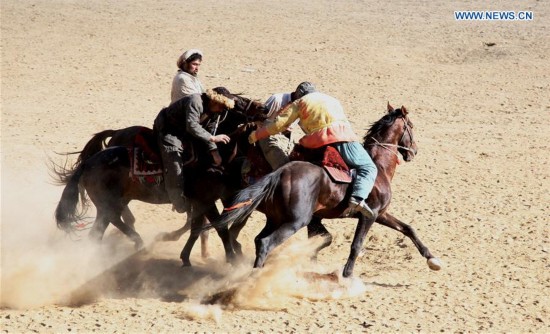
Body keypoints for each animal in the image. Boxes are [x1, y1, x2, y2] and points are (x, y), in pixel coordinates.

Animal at [54, 88, 268, 264]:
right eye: (237, 101)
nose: (263, 107)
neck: (211, 159)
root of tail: (87, 164)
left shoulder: (204, 202)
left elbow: (198, 227)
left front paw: (188, 256)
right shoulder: (205, 201)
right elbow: (219, 228)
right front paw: (232, 258)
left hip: (111, 204)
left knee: (104, 228)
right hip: (108, 204)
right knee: (110, 224)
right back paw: (136, 245)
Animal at [207, 103, 444, 276]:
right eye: (411, 125)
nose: (414, 151)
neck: (378, 167)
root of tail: (280, 173)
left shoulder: (380, 214)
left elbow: (408, 229)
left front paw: (432, 259)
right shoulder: (369, 215)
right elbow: (355, 244)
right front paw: (346, 274)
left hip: (275, 218)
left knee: (252, 239)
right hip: (294, 221)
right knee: (260, 241)